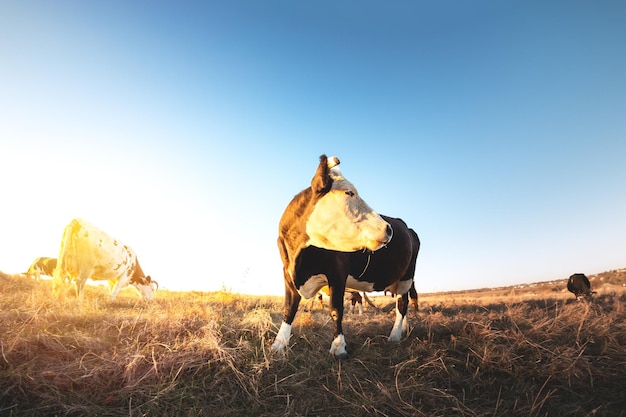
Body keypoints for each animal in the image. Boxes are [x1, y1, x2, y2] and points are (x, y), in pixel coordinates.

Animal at [270, 155, 420, 358]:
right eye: (349, 193)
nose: (388, 229)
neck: (299, 257)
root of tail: (406, 226)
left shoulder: (337, 273)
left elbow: (335, 309)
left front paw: (338, 347)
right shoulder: (288, 273)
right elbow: (289, 308)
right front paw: (279, 344)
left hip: (407, 276)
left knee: (402, 303)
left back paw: (395, 335)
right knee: (402, 303)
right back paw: (404, 328)